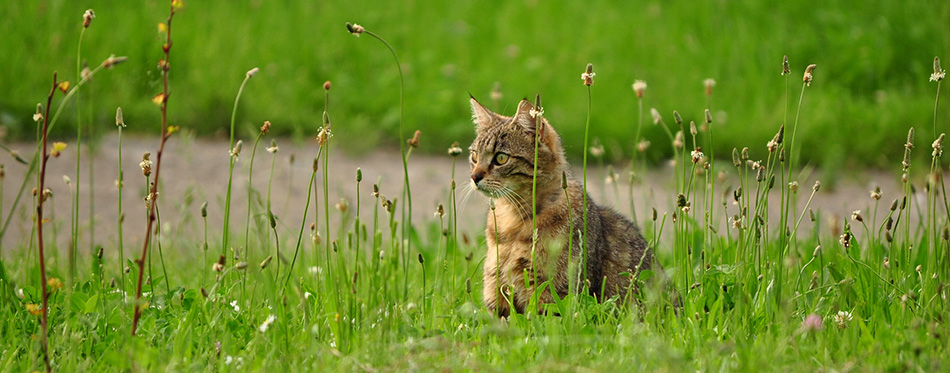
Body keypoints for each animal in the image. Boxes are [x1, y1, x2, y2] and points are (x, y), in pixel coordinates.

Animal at [468, 96, 660, 316]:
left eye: (501, 158)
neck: (513, 220)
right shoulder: (497, 292)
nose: (474, 177)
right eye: (474, 156)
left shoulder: (552, 294)